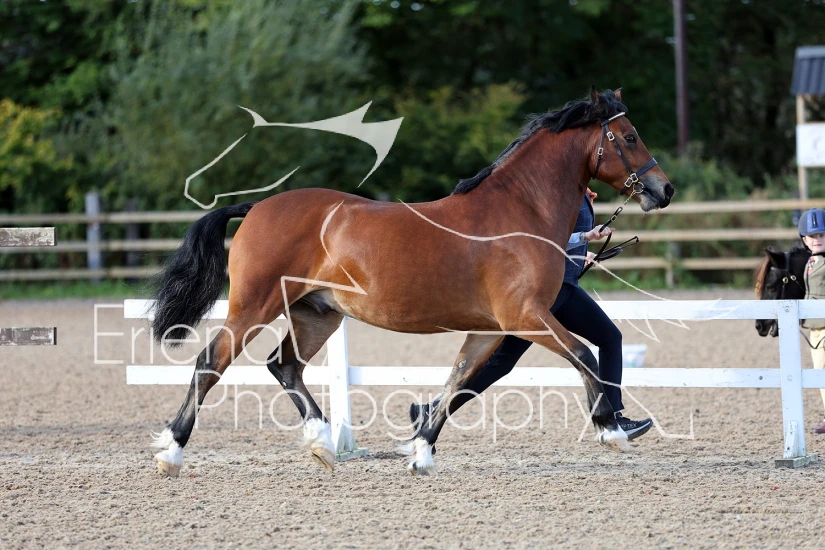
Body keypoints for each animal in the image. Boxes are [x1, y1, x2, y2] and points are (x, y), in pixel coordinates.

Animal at [148, 87, 674, 477]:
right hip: (253, 307)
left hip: (317, 314)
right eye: (629, 136)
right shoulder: (527, 317)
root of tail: (257, 206)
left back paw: (322, 444)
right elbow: (585, 355)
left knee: (285, 365)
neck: (520, 212)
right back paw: (171, 452)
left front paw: (421, 452)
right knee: (210, 363)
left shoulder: (489, 329)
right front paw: (611, 429)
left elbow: (456, 381)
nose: (663, 190)